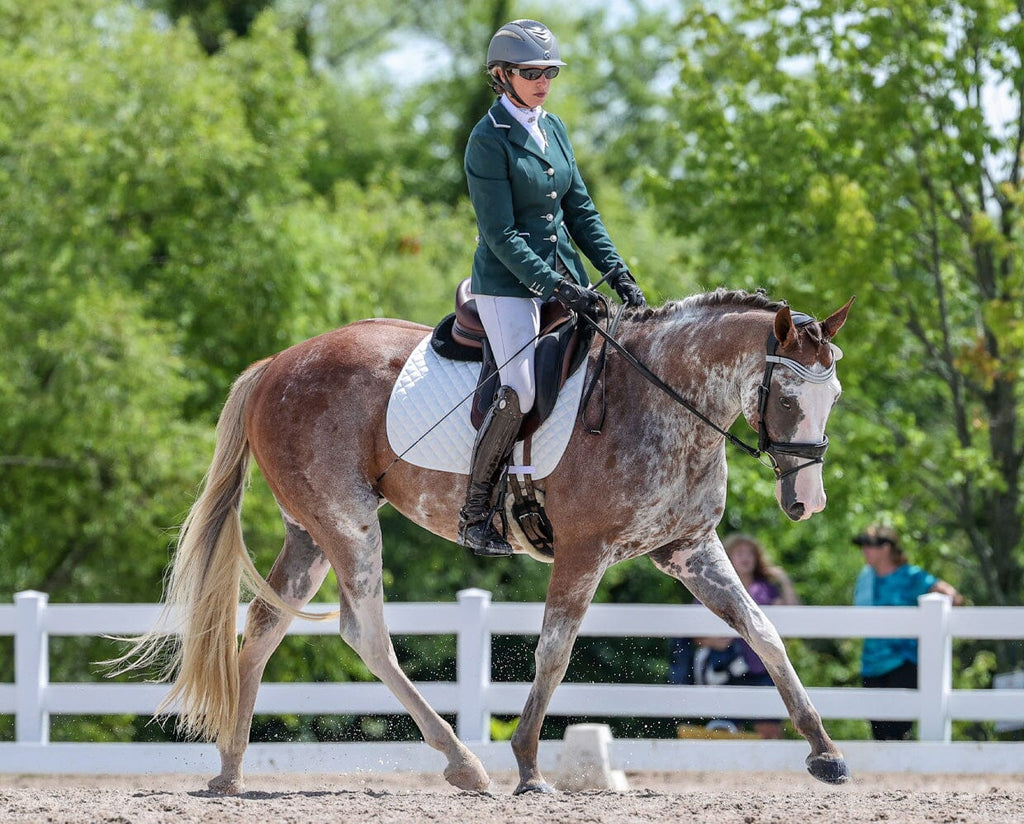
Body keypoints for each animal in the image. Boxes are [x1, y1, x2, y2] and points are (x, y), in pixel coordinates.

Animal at [116, 288, 856, 790]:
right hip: (346, 523)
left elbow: (764, 632)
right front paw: (528, 767)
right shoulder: (584, 552)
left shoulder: (690, 551)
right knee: (366, 634)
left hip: (310, 532)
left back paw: (231, 771)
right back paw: (463, 761)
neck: (664, 403)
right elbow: (554, 653)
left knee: (266, 625)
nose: (807, 503)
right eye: (788, 395)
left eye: (836, 396)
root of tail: (276, 364)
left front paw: (825, 752)